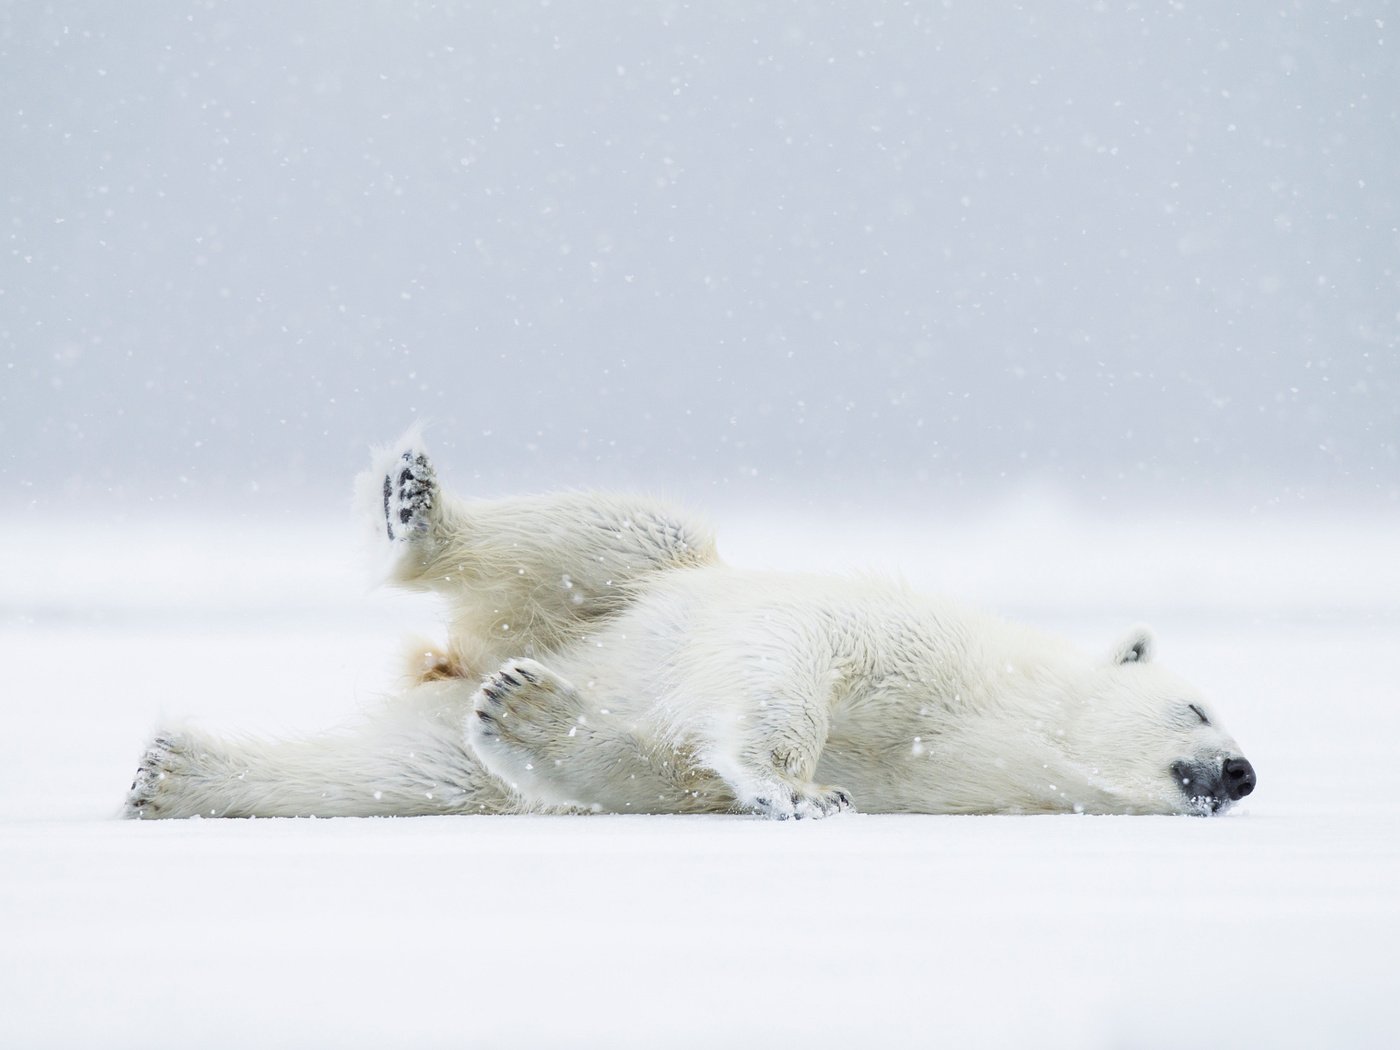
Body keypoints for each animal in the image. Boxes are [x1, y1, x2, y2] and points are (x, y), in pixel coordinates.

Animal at [123, 428, 1260, 823]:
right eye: (1199, 708)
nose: (1242, 773)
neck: (995, 717)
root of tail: (455, 654)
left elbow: (661, 773)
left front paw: (538, 726)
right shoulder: (903, 645)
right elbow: (790, 663)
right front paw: (802, 788)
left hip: (470, 699)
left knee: (406, 768)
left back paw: (177, 774)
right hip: (626, 584)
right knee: (619, 531)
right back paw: (417, 509)